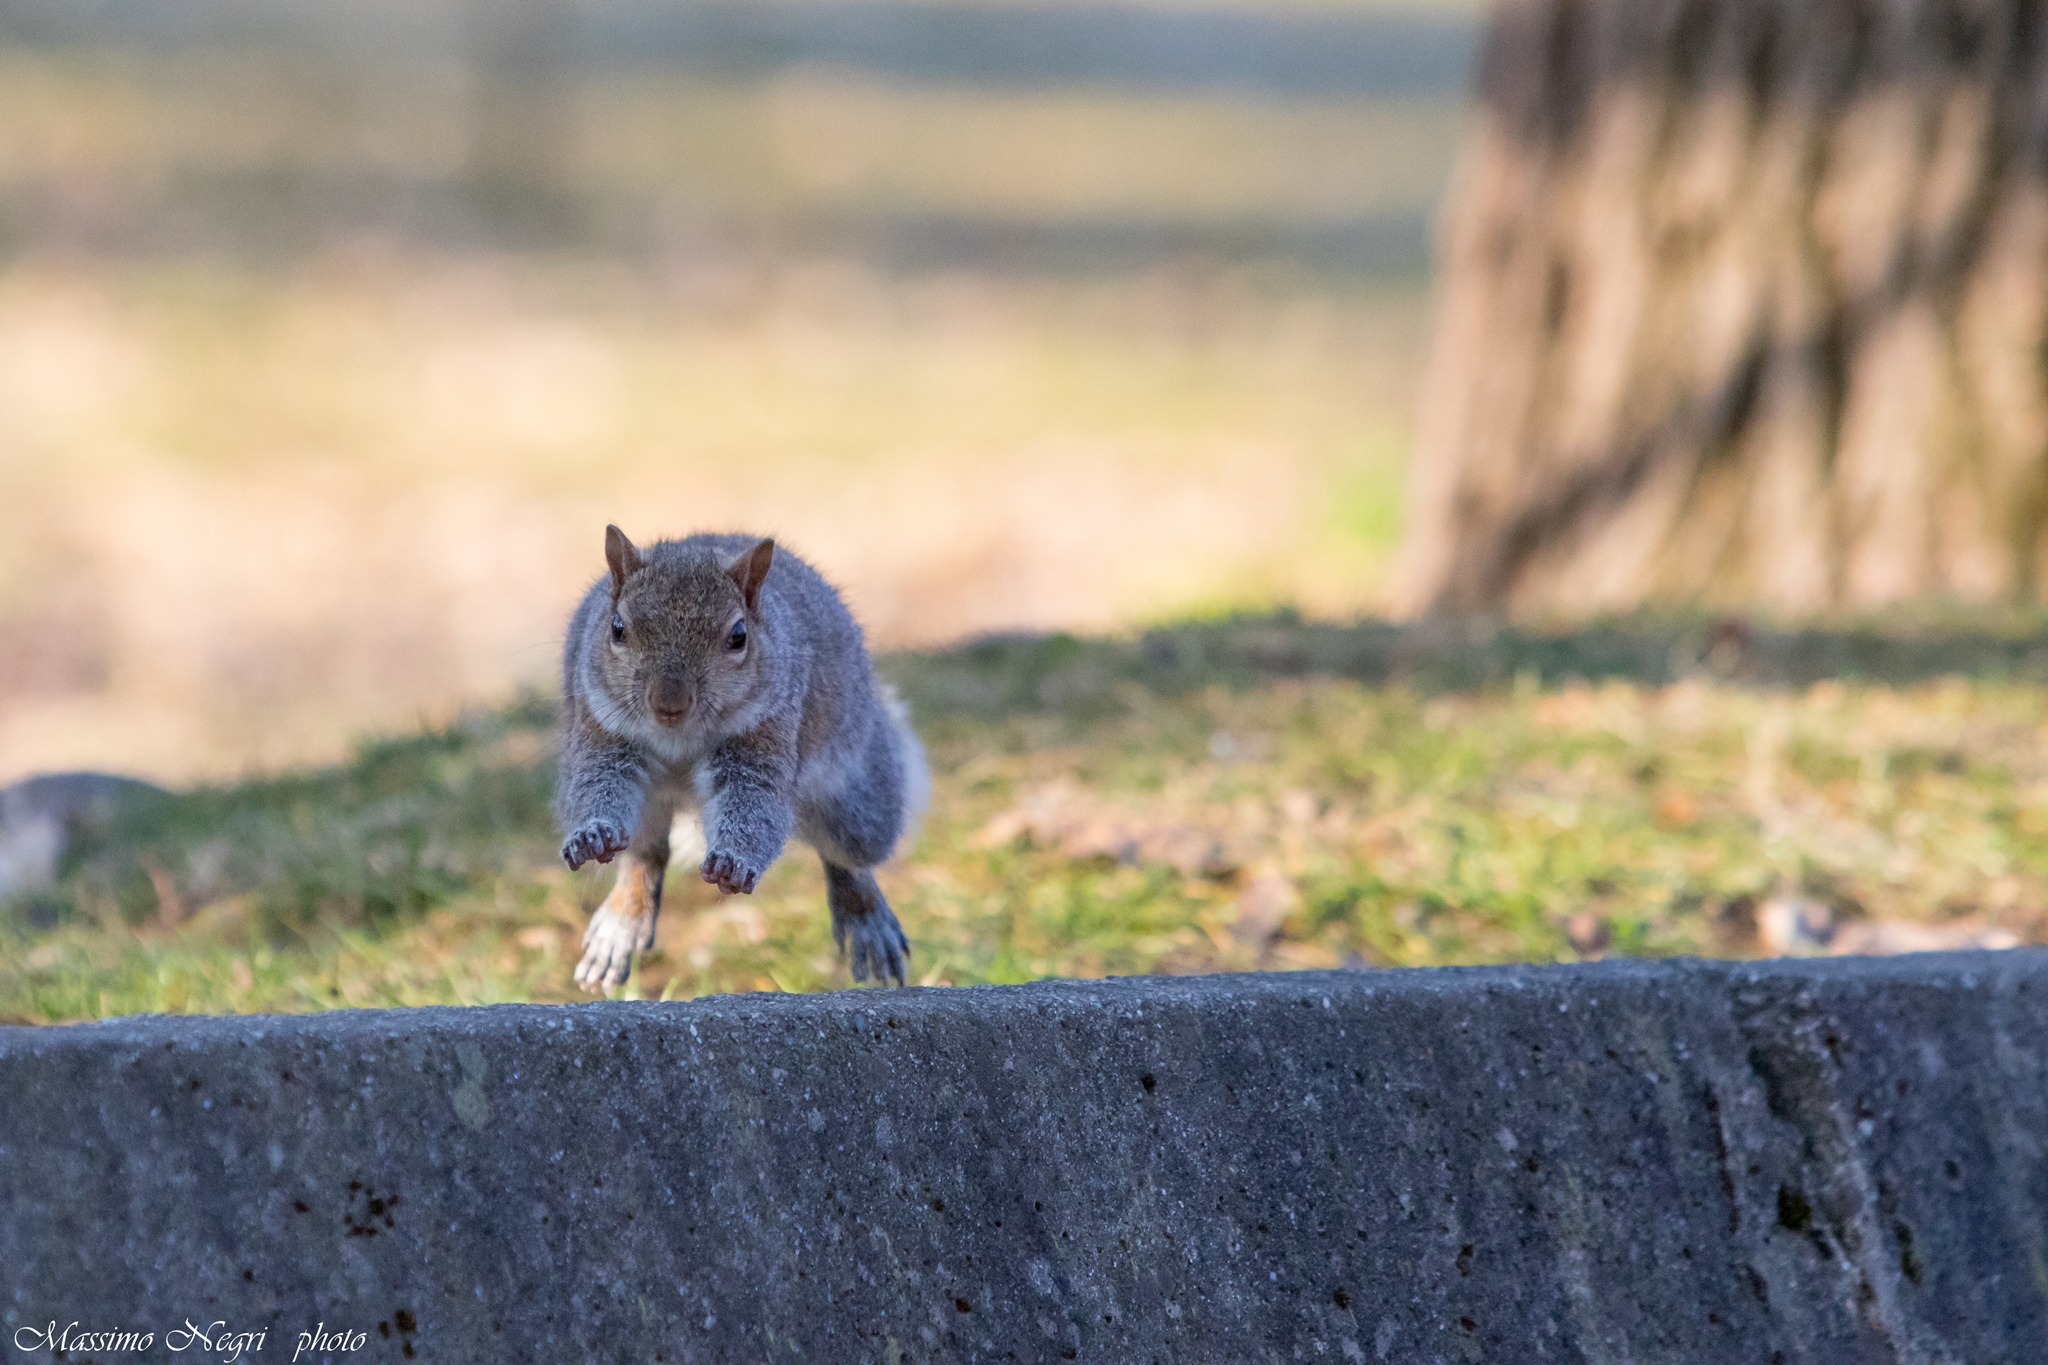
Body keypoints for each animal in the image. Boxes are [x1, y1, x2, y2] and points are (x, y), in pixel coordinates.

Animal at [556, 526, 928, 991]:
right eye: (618, 628)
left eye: (738, 637)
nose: (669, 704)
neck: (678, 738)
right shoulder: (602, 729)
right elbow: (597, 782)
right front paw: (592, 835)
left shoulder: (763, 738)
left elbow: (755, 803)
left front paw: (733, 862)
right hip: (650, 804)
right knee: (644, 856)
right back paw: (621, 925)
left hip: (858, 805)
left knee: (849, 857)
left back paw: (867, 920)